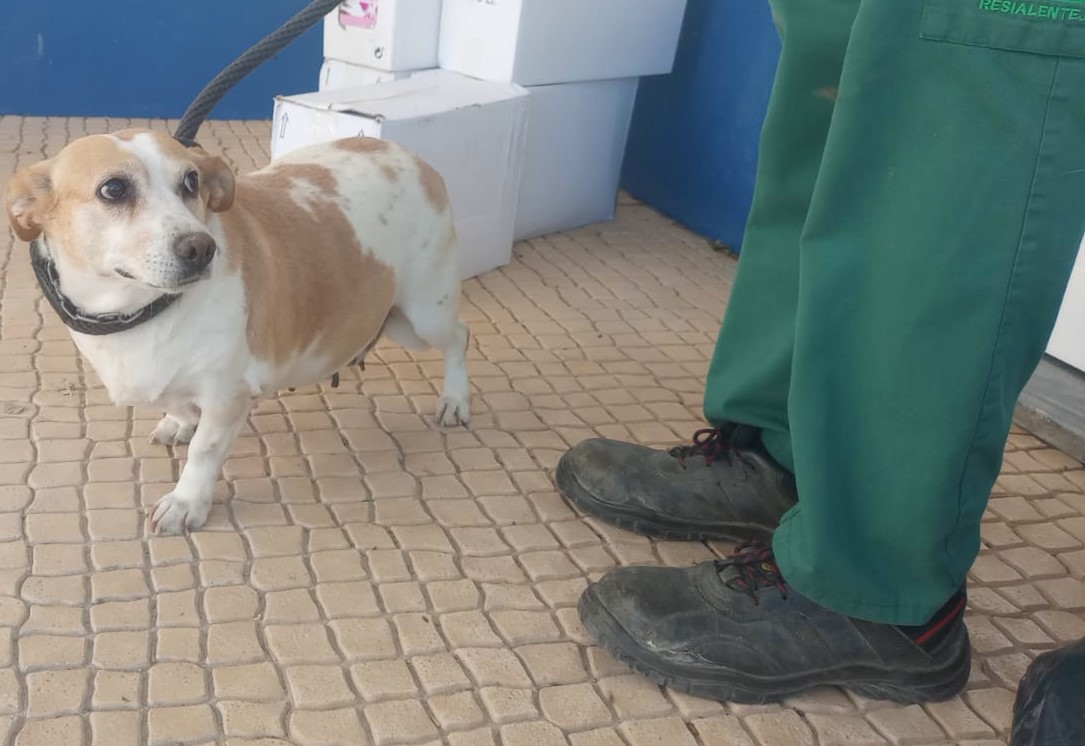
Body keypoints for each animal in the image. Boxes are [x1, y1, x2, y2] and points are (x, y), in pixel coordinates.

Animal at [4, 129, 470, 534]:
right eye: (114, 189)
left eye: (191, 181)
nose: (201, 248)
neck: (145, 311)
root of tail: (410, 156)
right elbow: (177, 406)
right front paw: (177, 421)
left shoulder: (226, 396)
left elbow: (203, 452)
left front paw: (186, 502)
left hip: (419, 317)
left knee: (460, 336)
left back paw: (455, 400)